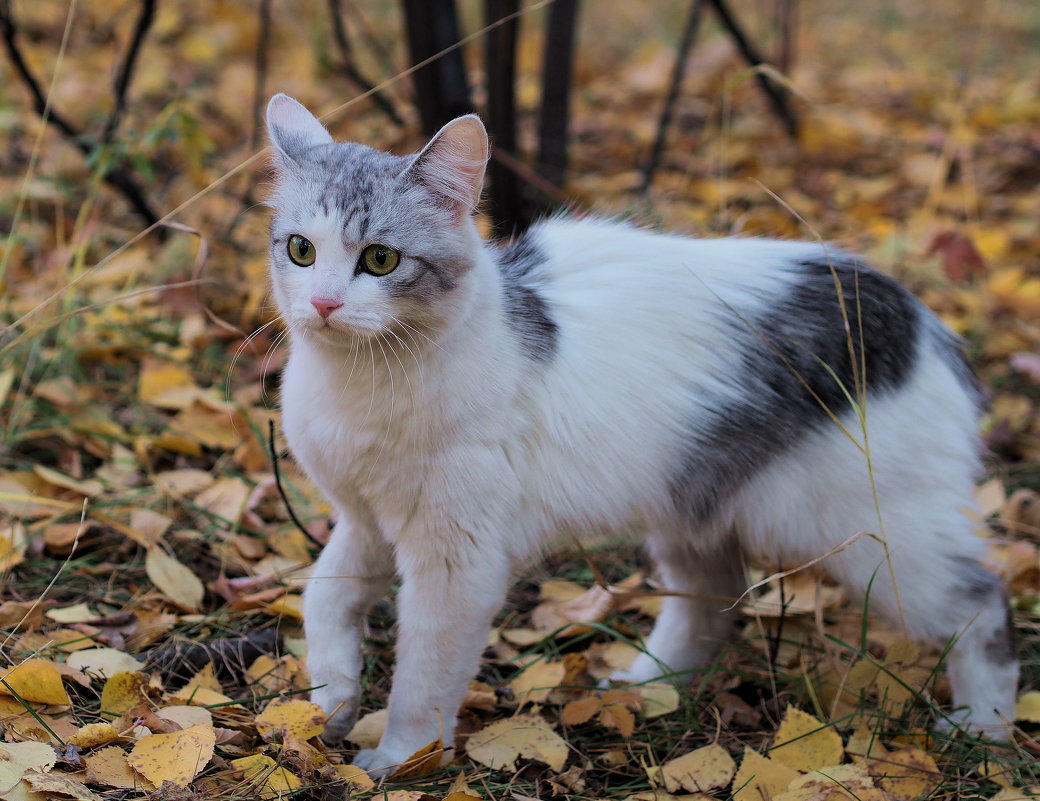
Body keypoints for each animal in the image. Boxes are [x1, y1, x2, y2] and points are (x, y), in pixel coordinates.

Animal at [264, 93, 1019, 773]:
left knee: (983, 601)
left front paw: (399, 762)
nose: (324, 303)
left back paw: (984, 726)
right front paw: (329, 701)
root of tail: (912, 309)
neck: (359, 384)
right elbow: (323, 595)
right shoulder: (364, 517)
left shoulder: (455, 560)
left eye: (380, 260)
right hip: (694, 507)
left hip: (867, 540)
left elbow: (422, 677)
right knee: (712, 603)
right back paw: (647, 688)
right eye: (301, 251)